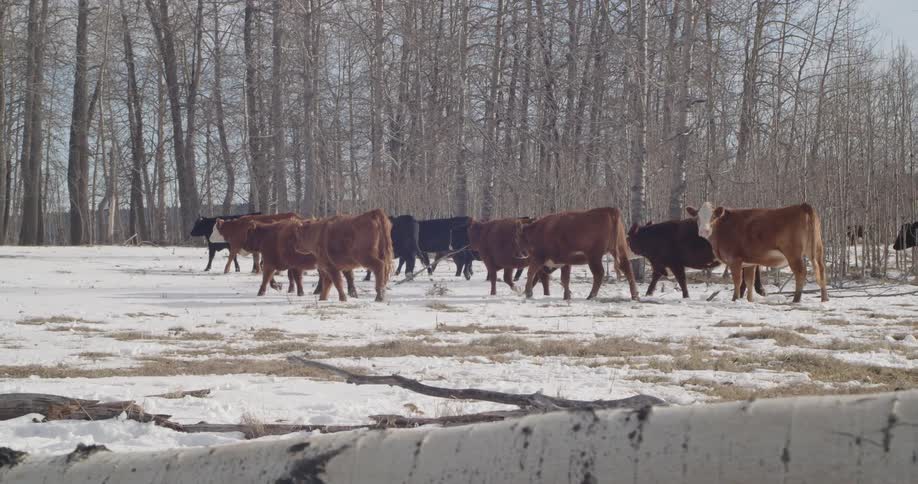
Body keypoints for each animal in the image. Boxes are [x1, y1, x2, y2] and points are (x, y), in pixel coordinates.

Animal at [626, 219, 764, 298]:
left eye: (628, 238)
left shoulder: (674, 263)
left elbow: (681, 279)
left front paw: (686, 296)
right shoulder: (661, 263)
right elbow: (656, 277)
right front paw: (648, 293)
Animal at [687, 203, 828, 303]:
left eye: (713, 216)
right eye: (697, 217)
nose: (703, 231)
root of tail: (802, 206)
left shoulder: (734, 260)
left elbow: (738, 281)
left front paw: (734, 299)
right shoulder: (750, 263)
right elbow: (749, 282)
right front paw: (749, 300)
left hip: (794, 254)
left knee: (800, 272)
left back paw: (796, 299)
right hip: (817, 248)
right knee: (821, 270)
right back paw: (824, 298)